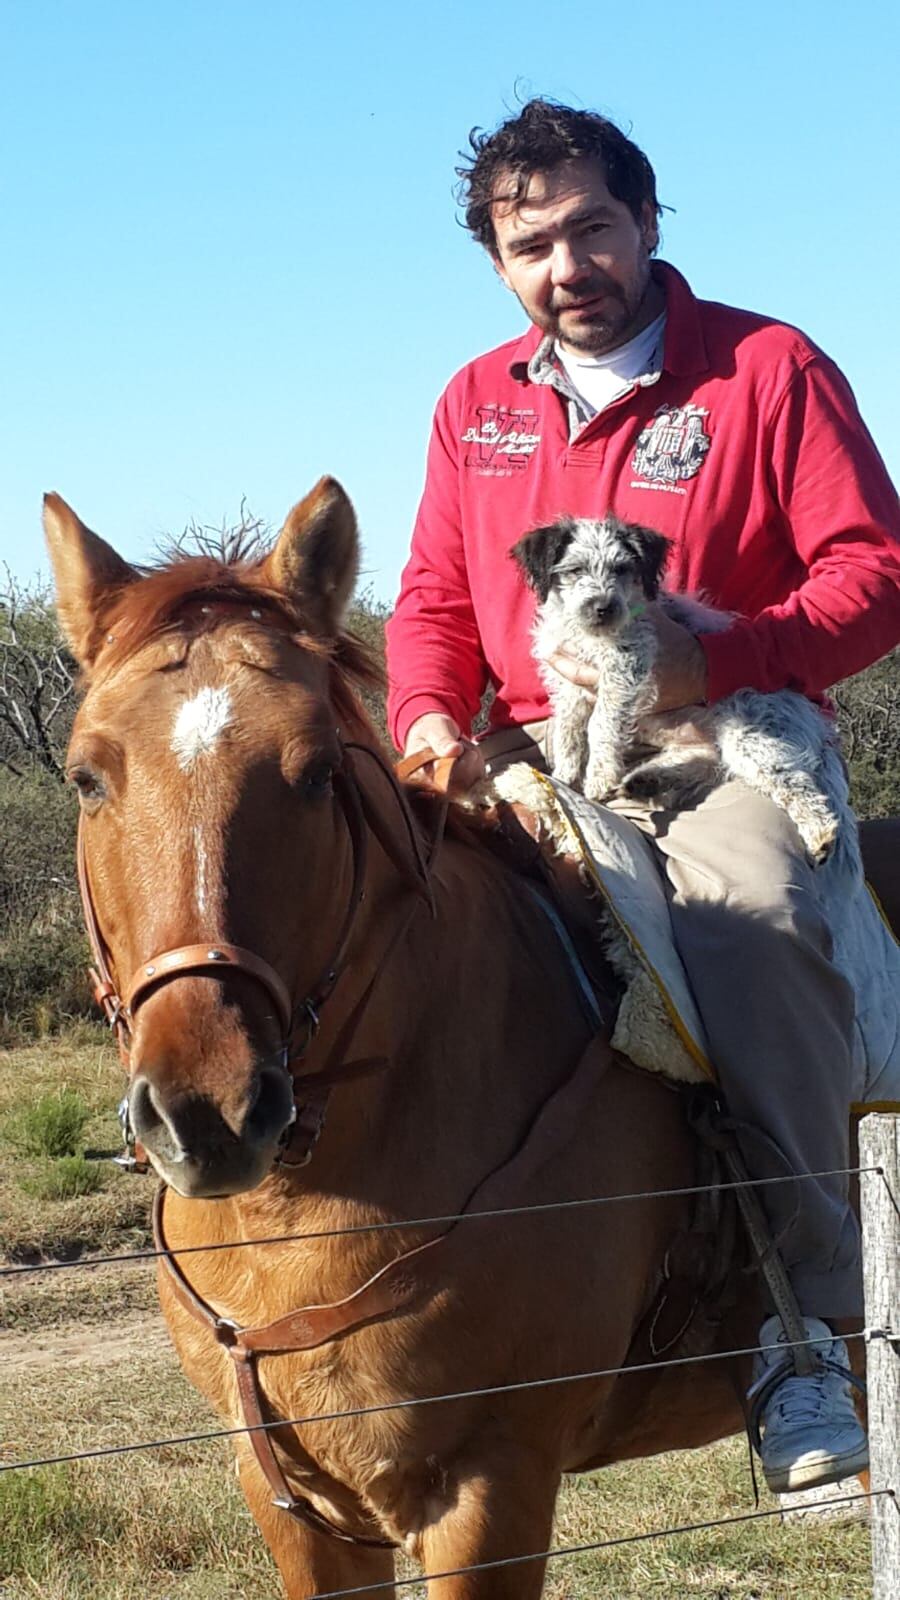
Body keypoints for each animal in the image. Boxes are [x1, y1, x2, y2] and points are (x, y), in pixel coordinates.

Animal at [512, 512, 839, 864]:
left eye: (622, 569)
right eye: (575, 570)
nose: (604, 608)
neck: (588, 635)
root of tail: (810, 716)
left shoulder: (626, 664)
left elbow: (601, 724)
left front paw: (598, 775)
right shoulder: (570, 685)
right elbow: (569, 731)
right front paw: (564, 775)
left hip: (751, 737)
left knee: (798, 786)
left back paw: (820, 836)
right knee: (709, 763)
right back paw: (644, 781)